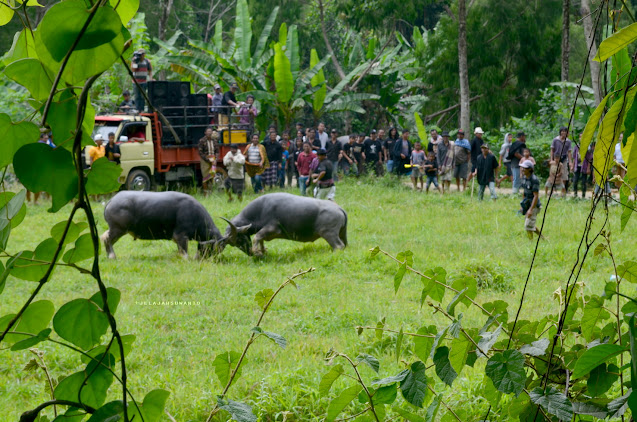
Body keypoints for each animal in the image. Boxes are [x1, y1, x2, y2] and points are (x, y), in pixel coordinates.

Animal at [100, 190, 247, 258]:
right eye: (219, 248)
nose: (204, 259)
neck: (194, 213)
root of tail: (112, 200)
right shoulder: (181, 236)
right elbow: (185, 253)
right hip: (118, 229)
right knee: (107, 239)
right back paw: (112, 256)